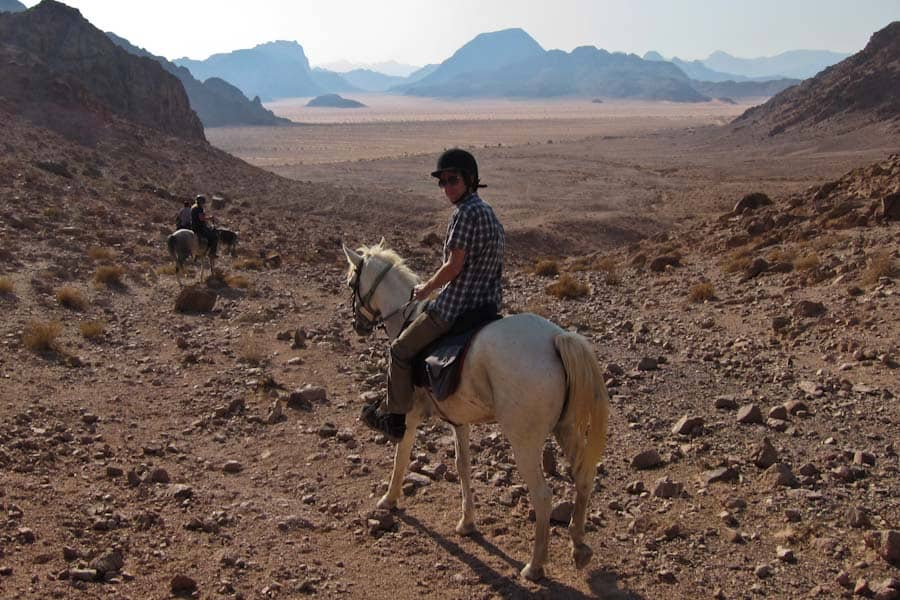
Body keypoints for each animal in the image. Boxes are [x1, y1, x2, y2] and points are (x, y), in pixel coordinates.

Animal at [344, 240, 612, 580]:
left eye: (351, 283)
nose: (358, 325)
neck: (406, 315)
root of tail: (556, 338)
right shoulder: (459, 421)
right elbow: (462, 466)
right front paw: (467, 522)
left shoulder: (411, 413)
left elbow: (401, 454)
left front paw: (389, 499)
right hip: (565, 429)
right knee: (583, 477)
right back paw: (578, 547)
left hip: (525, 442)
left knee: (543, 497)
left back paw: (534, 566)